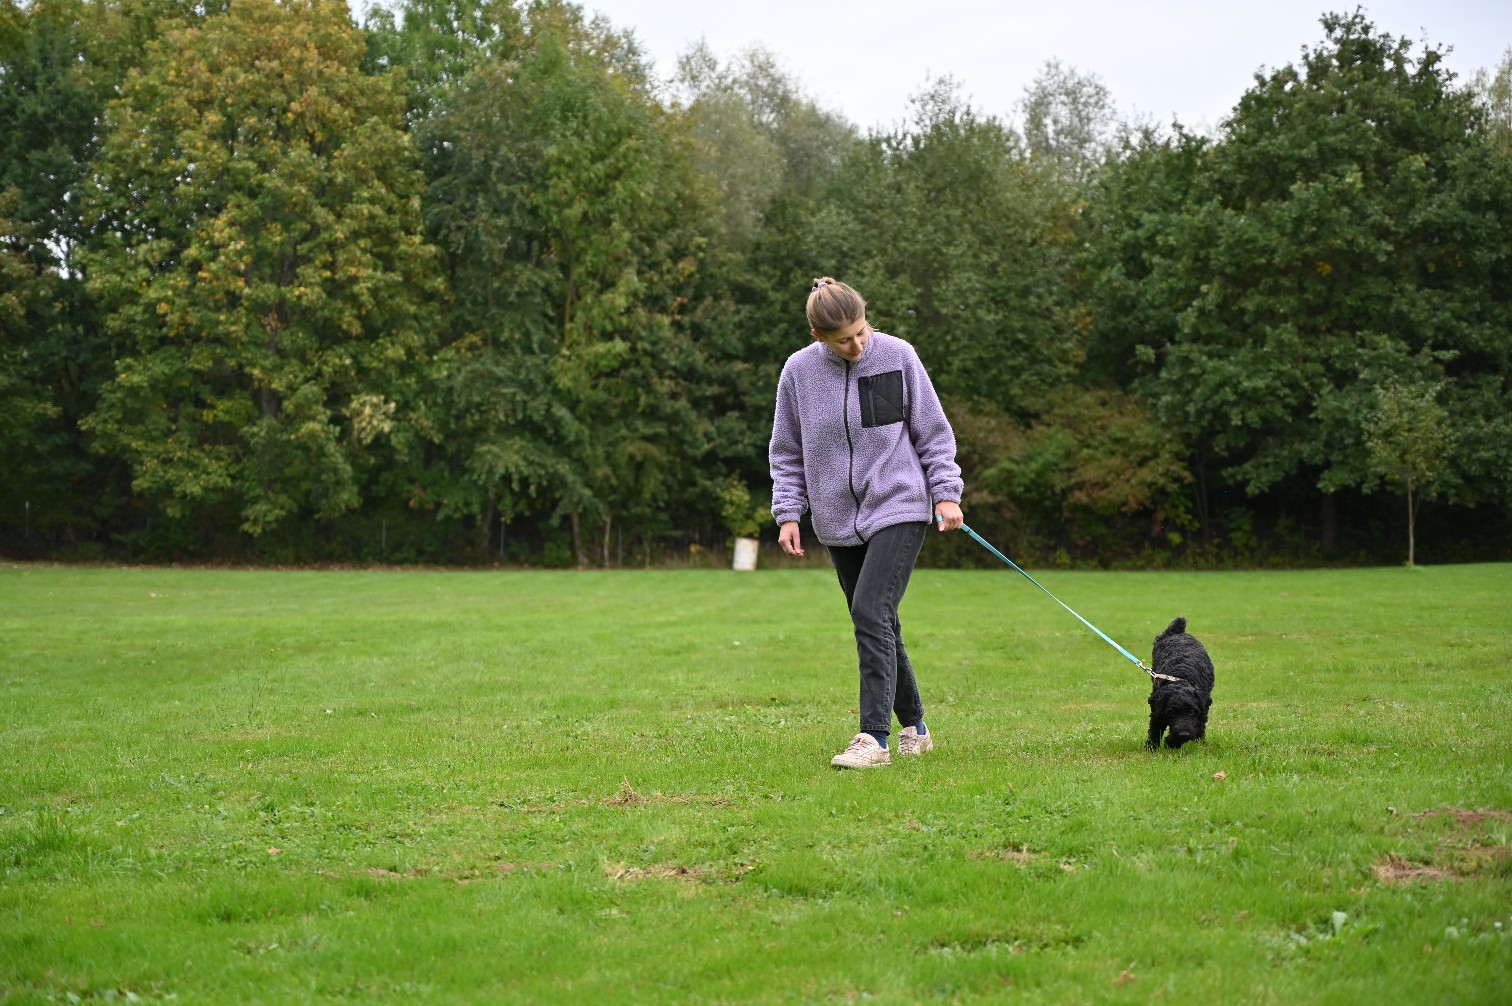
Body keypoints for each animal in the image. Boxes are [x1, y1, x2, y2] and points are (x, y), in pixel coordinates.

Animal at [1146, 617, 1214, 750]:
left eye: (1191, 711)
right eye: (1172, 712)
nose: (1184, 734)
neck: (1181, 676)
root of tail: (1177, 632)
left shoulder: (1201, 713)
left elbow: (1199, 726)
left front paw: (1172, 742)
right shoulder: (1157, 709)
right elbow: (1155, 729)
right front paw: (1152, 748)